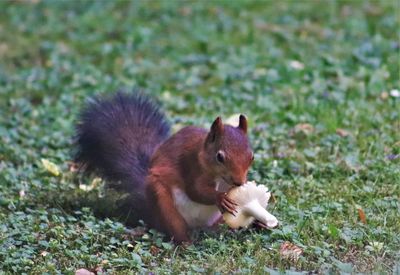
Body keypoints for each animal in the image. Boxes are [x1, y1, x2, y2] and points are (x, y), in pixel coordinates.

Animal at [76, 92, 253, 244]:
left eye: (251, 156)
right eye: (220, 157)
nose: (239, 182)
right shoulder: (193, 167)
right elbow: (195, 191)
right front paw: (220, 198)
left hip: (218, 219)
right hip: (164, 205)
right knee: (177, 230)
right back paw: (186, 244)